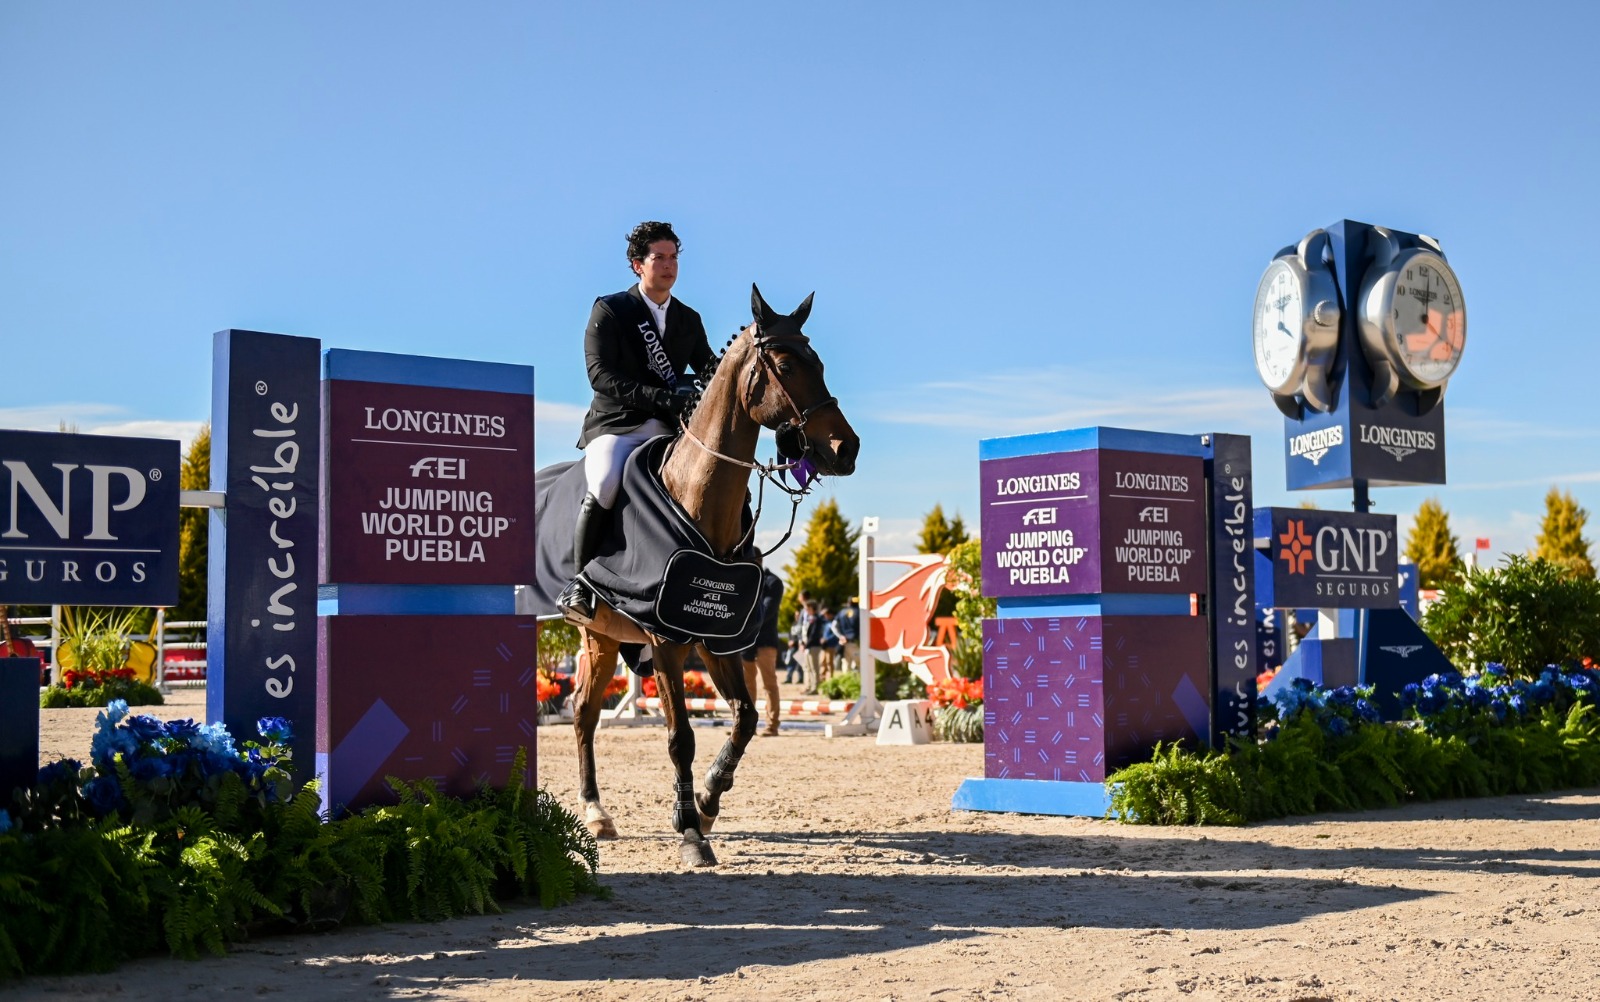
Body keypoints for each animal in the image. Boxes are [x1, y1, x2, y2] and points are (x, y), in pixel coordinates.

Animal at [569, 284, 857, 864]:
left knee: (587, 711)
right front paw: (689, 832)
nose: (846, 449)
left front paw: (706, 801)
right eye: (785, 366)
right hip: (597, 634)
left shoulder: (719, 638)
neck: (698, 499)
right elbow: (681, 735)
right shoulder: (666, 641)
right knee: (585, 713)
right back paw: (594, 811)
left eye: (819, 362)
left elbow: (745, 718)